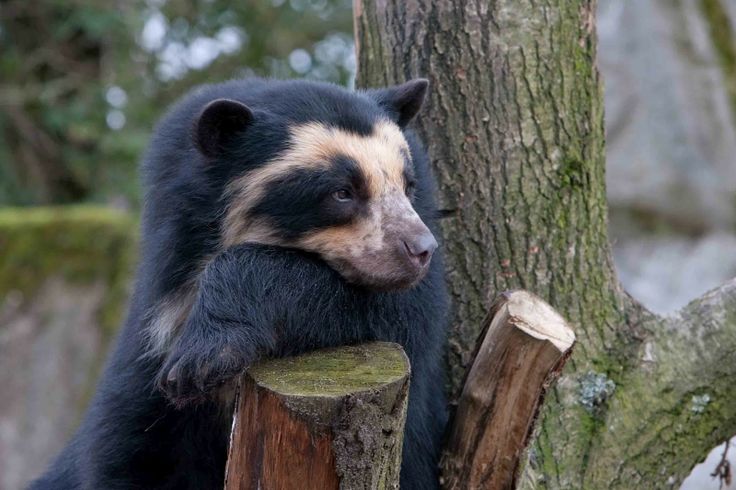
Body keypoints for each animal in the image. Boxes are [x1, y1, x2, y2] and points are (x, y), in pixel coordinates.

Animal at [30, 77, 448, 490]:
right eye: (342, 192)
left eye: (407, 186)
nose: (421, 249)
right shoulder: (152, 338)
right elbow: (132, 449)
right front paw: (193, 371)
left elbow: (401, 315)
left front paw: (201, 357)